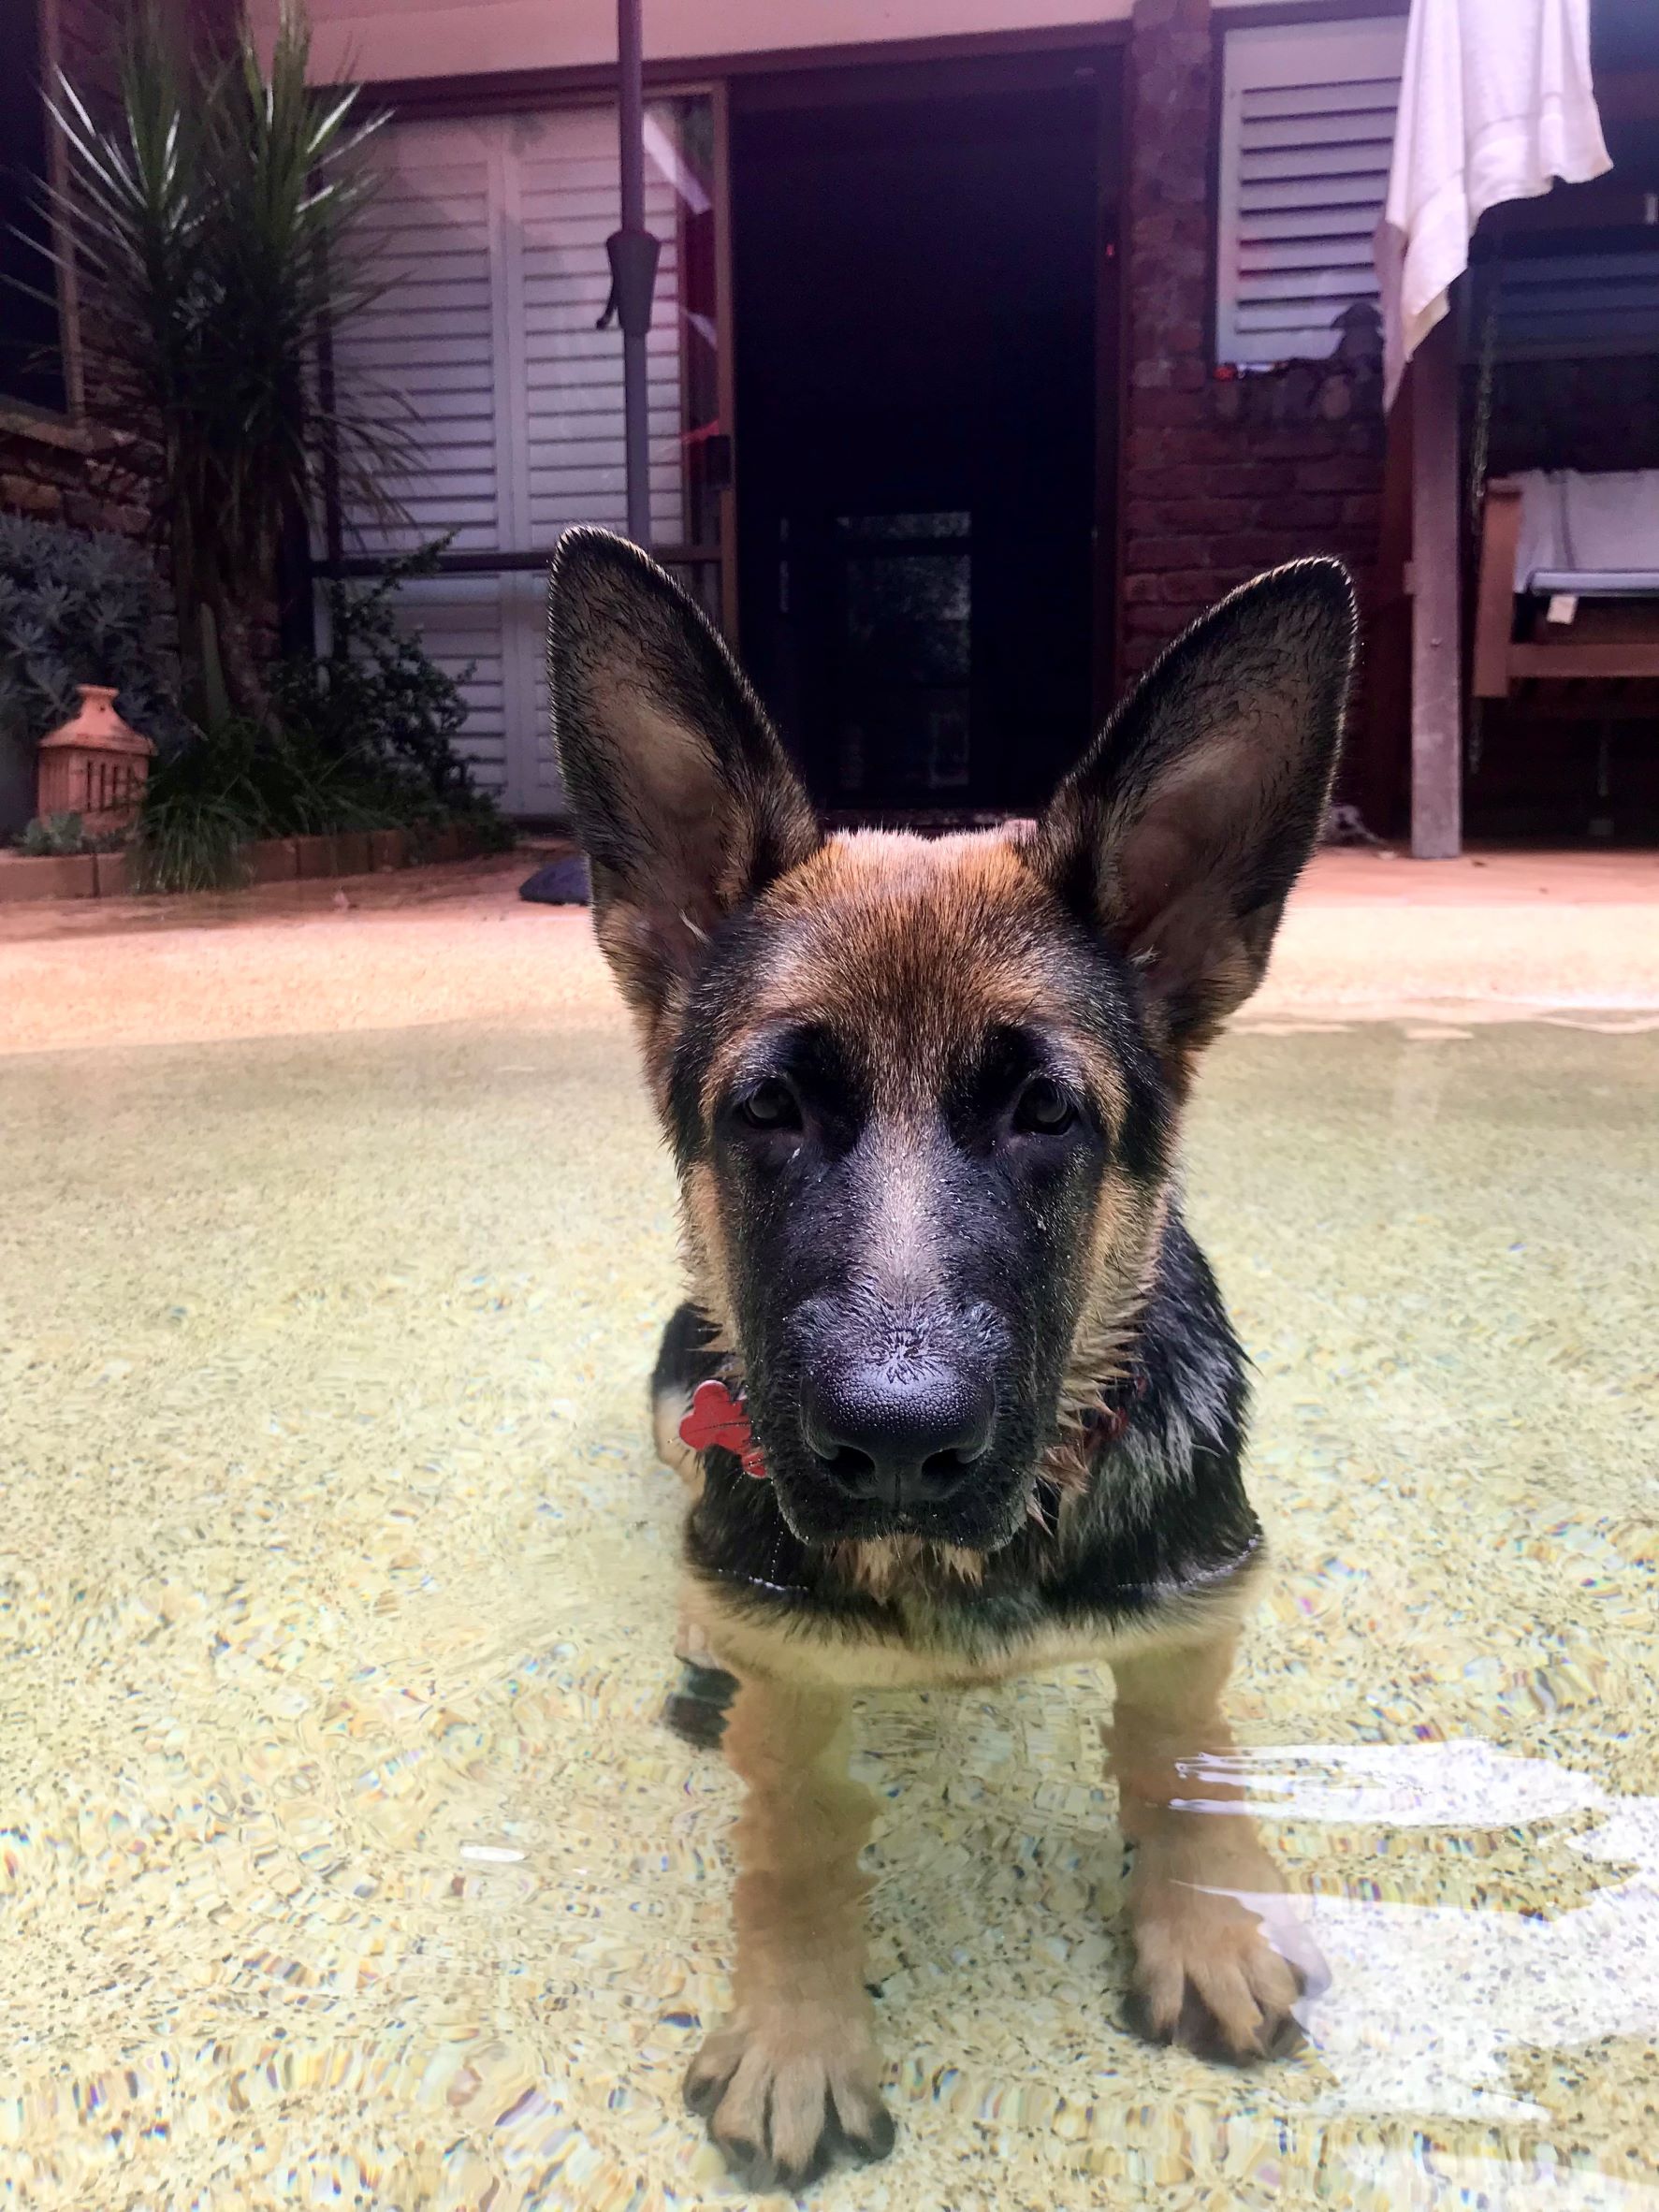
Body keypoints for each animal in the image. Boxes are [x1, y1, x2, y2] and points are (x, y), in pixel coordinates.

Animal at [553, 526, 1353, 2185]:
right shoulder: (793, 1676)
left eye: (1046, 1112)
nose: (899, 1447)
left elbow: (1185, 1745)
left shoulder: (1200, 1597)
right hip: (677, 1391)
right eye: (768, 1110)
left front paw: (1206, 1914)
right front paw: (798, 2029)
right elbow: (794, 1836)